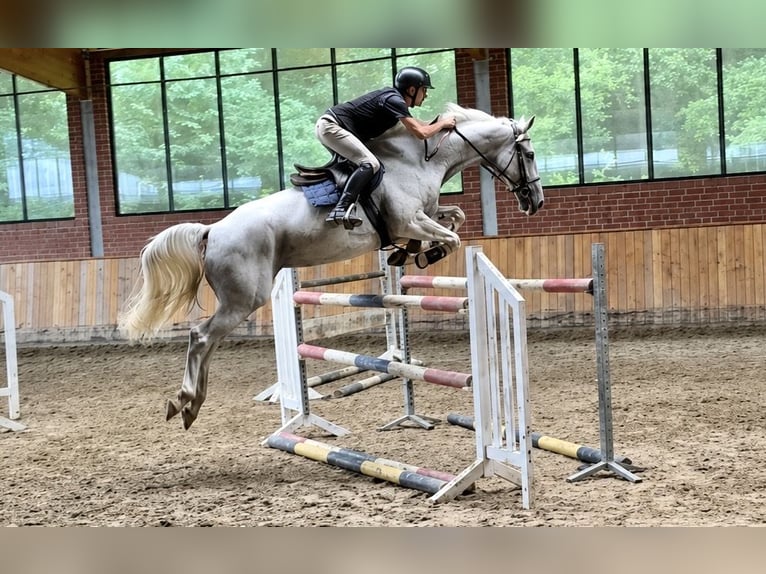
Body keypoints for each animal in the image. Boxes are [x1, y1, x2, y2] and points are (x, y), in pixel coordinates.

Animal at [118, 102, 544, 430]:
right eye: (529, 154)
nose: (535, 201)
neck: (418, 160)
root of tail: (212, 230)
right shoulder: (410, 219)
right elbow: (450, 238)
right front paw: (422, 253)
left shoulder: (425, 216)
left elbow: (455, 217)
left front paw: (405, 253)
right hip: (244, 298)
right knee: (202, 336)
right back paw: (186, 402)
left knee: (205, 339)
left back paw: (189, 405)